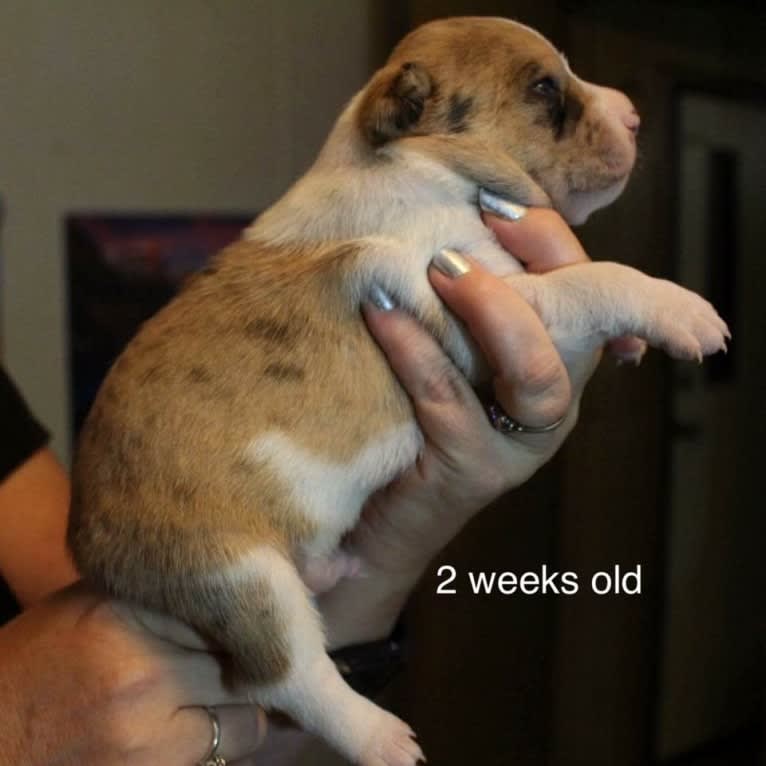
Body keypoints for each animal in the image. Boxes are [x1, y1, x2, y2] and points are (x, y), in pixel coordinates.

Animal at [67, 18, 732, 766]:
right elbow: (594, 279)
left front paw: (631, 343)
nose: (635, 115)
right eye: (543, 88)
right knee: (285, 674)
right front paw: (678, 308)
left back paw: (333, 566)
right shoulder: (486, 299)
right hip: (240, 573)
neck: (419, 163)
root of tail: (93, 550)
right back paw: (380, 735)